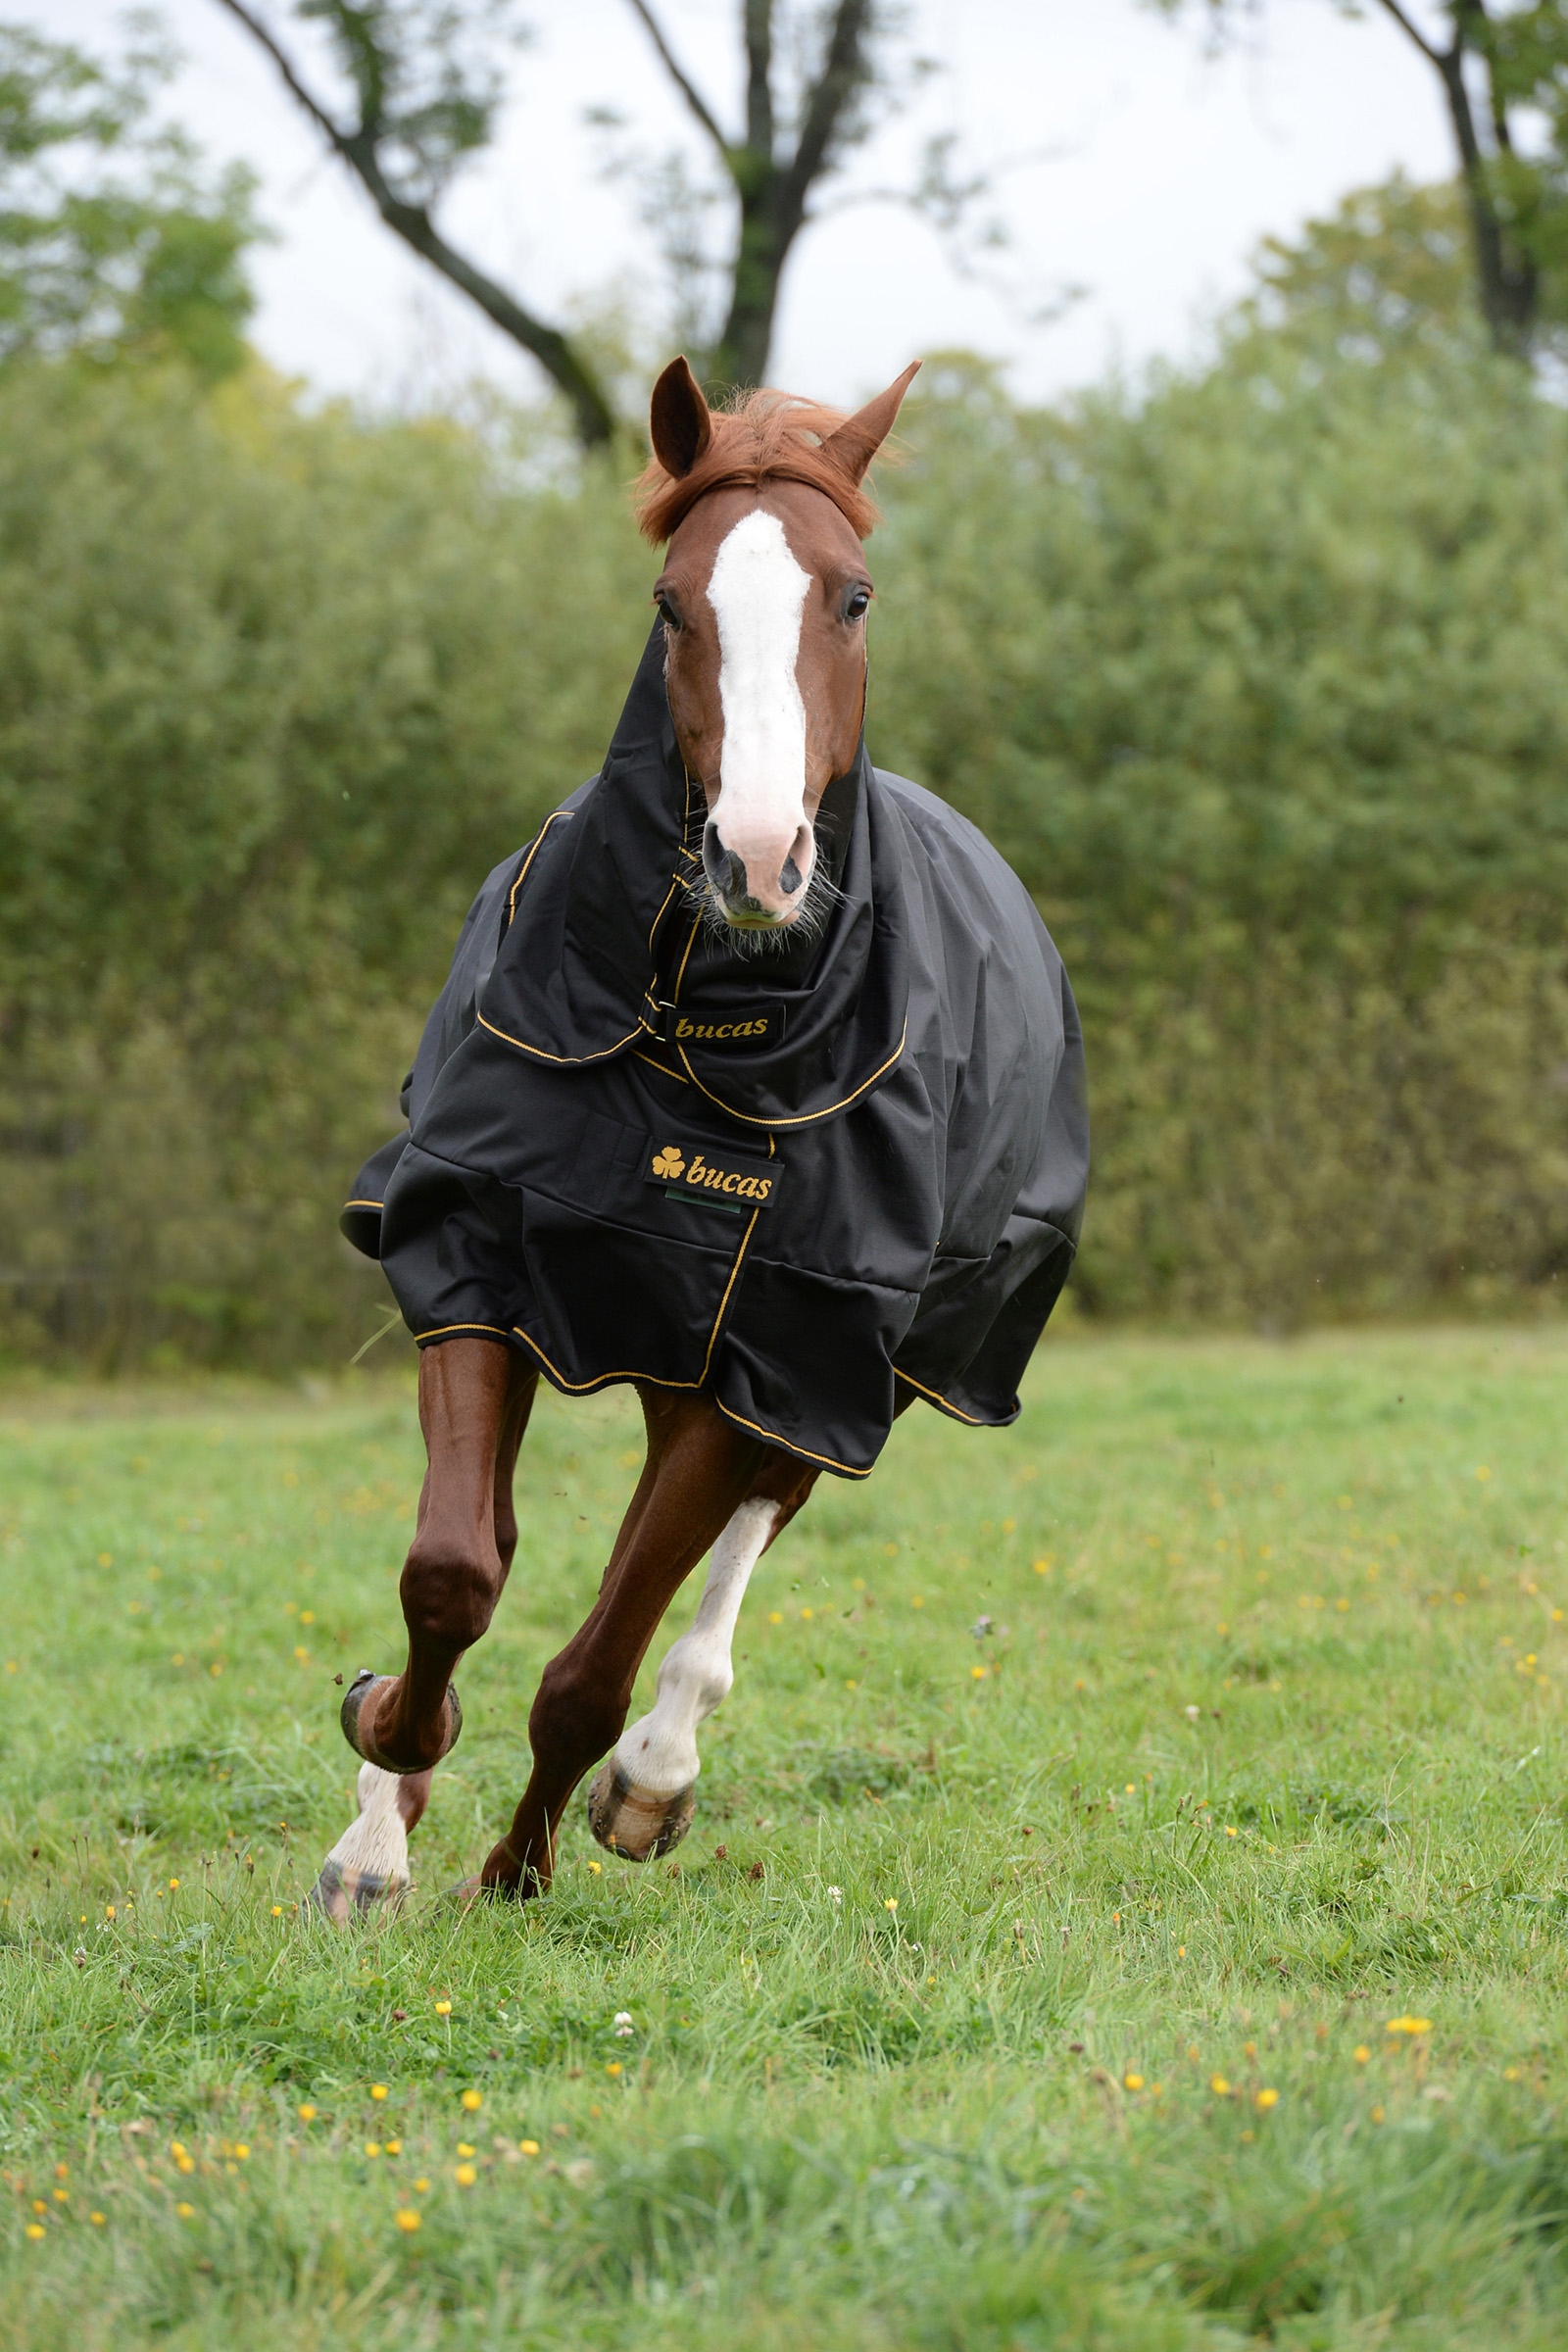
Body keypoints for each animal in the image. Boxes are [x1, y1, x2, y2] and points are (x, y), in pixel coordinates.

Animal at [312, 356, 1088, 1918]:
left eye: (853, 598)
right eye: (672, 602)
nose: (758, 858)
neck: (694, 1031)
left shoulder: (780, 1342)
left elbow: (594, 1663)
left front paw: (526, 1864)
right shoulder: (473, 1256)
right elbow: (453, 1571)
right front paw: (383, 1787)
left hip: (852, 1370)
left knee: (742, 1541)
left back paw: (652, 1785)